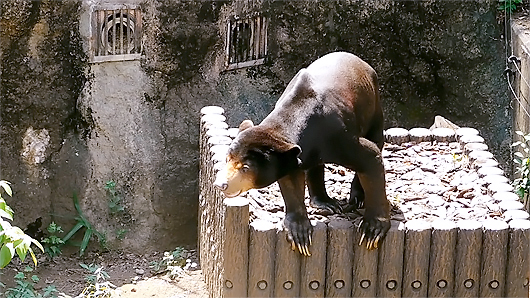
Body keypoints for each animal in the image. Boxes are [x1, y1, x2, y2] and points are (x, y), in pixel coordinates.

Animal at [213, 51, 388, 256]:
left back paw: (357, 198)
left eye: (245, 167)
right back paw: (325, 203)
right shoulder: (289, 156)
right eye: (227, 159)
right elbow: (291, 182)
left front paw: (372, 230)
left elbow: (370, 155)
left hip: (373, 105)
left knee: (376, 138)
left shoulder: (338, 136)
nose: (221, 184)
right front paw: (299, 234)